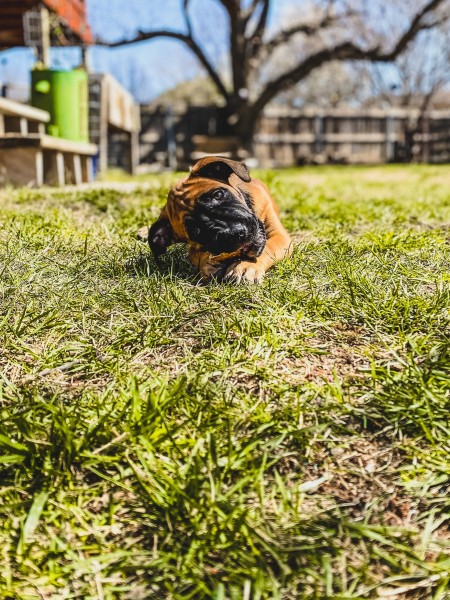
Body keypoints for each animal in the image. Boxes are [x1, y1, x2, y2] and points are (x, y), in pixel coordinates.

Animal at [143, 157, 292, 284]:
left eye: (218, 195)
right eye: (194, 230)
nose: (235, 234)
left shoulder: (280, 236)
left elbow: (268, 247)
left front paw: (246, 267)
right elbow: (196, 255)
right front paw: (207, 264)